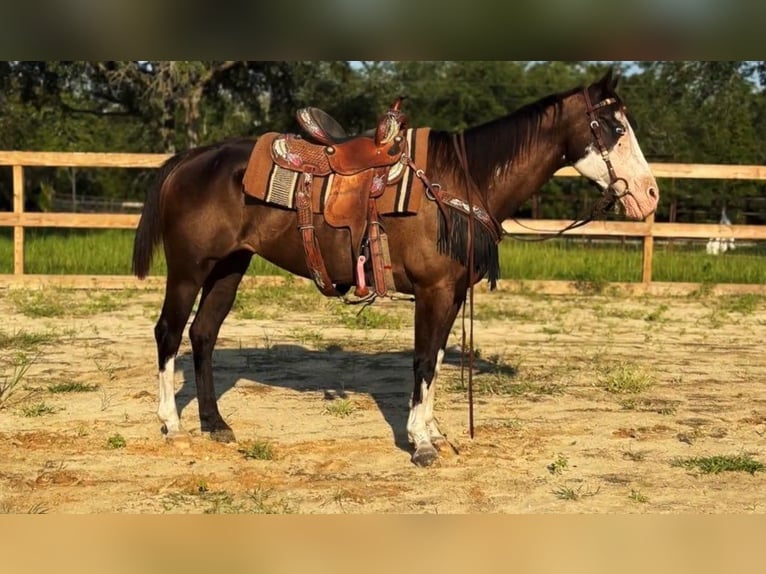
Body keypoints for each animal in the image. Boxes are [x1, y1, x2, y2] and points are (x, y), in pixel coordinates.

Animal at [132, 68, 659, 467]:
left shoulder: (452, 294)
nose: (650, 193)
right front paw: (422, 444)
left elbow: (438, 359)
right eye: (615, 128)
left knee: (203, 335)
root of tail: (192, 157)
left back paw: (215, 423)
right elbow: (423, 360)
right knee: (169, 333)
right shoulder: (432, 290)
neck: (460, 182)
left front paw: (435, 431)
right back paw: (172, 424)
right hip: (188, 269)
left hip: (229, 268)